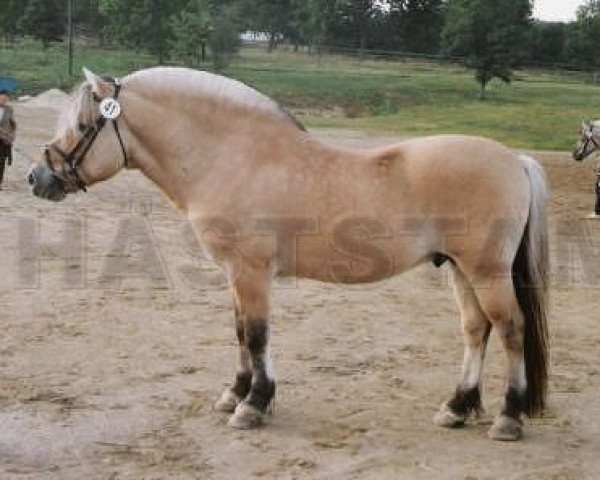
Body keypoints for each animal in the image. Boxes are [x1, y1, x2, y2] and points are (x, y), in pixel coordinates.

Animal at [28, 65, 548, 440]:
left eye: (82, 124)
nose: (37, 177)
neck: (235, 157)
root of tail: (514, 159)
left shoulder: (252, 272)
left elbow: (257, 336)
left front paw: (253, 405)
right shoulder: (236, 275)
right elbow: (240, 332)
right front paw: (236, 394)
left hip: (487, 272)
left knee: (511, 330)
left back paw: (508, 417)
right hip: (460, 270)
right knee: (476, 330)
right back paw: (457, 407)